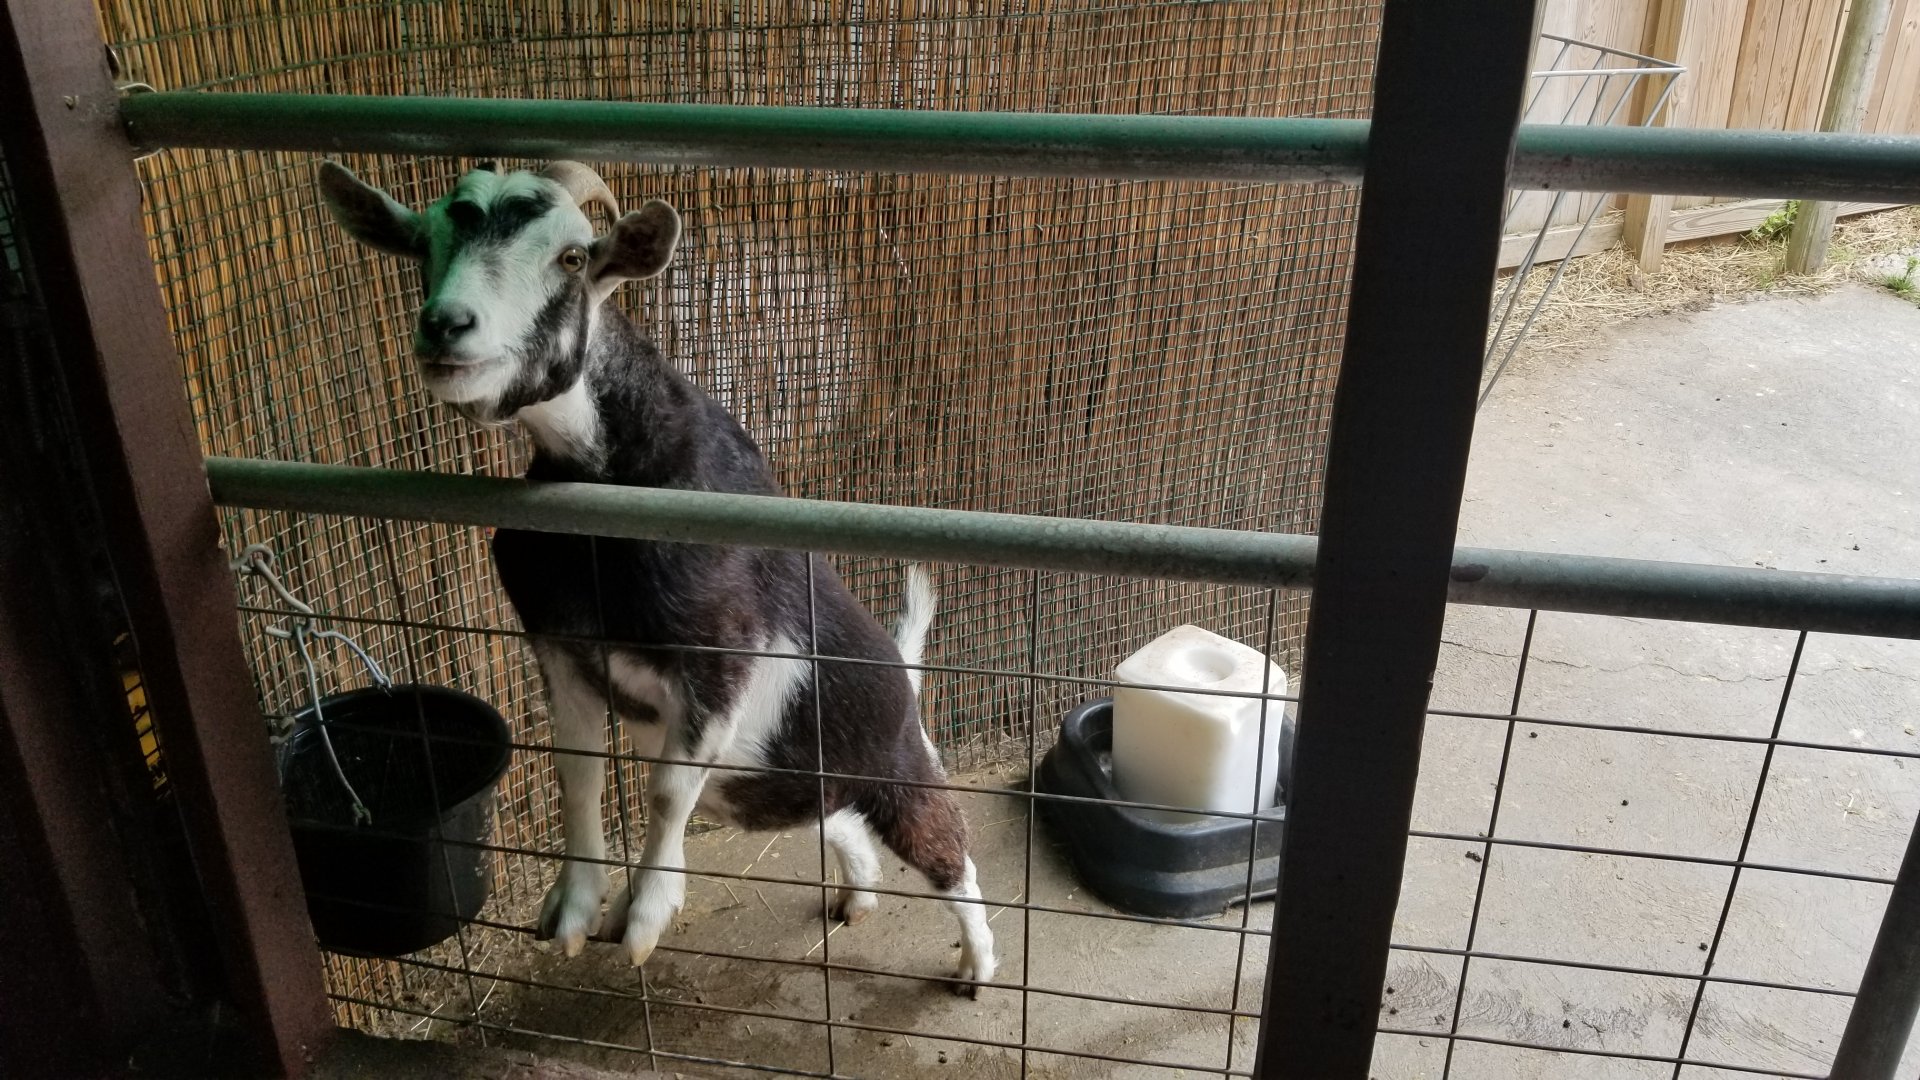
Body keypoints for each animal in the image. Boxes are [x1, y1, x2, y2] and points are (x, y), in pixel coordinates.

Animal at [316, 159, 996, 993]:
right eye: (423, 245)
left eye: (573, 256)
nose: (446, 326)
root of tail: (906, 678)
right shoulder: (561, 647)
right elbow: (578, 772)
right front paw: (574, 910)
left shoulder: (722, 655)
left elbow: (668, 789)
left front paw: (643, 916)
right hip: (789, 778)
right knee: (834, 818)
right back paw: (858, 896)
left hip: (898, 766)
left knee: (951, 855)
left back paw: (978, 964)